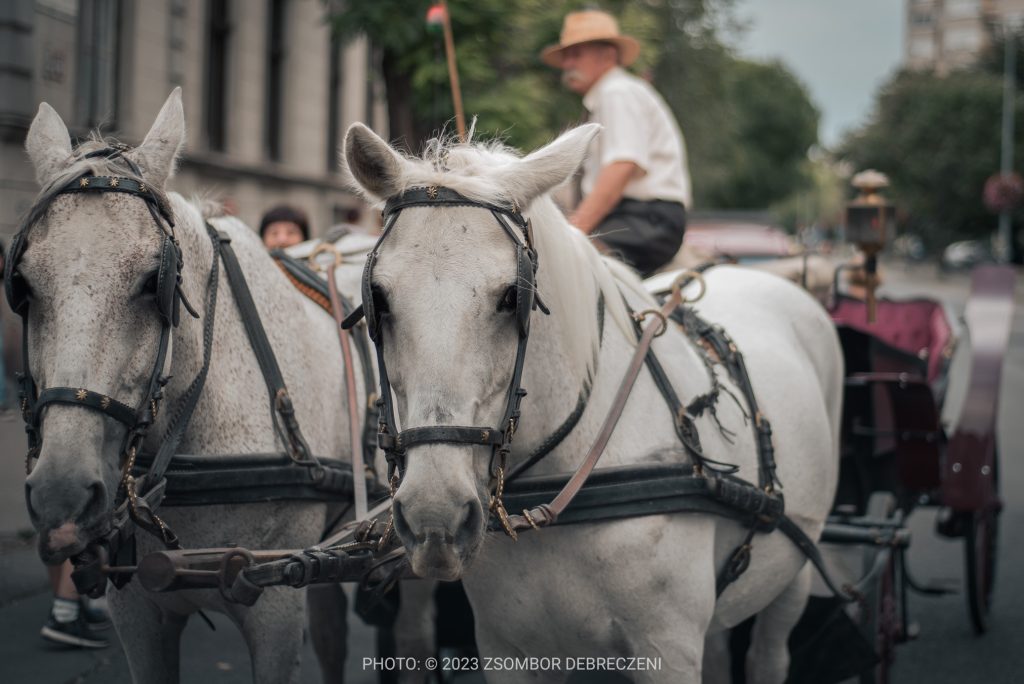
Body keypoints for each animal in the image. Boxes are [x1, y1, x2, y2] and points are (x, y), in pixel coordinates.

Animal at [341, 122, 844, 683]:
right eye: (378, 299)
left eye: (512, 296)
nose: (435, 514)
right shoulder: (507, 652)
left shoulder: (666, 651)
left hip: (795, 570)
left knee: (768, 652)